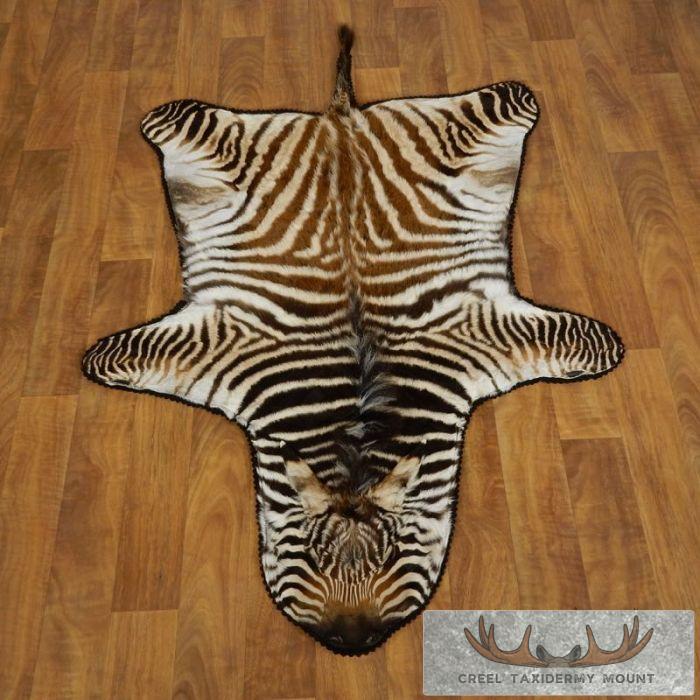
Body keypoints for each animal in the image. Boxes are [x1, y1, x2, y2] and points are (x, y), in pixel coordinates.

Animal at [82, 27, 623, 654]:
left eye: (391, 557)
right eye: (313, 559)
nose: (352, 645)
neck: (355, 430)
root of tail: (341, 119)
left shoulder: (486, 330)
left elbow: (600, 344)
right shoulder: (216, 340)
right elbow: (103, 358)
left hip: (480, 120)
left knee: (517, 93)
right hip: (216, 136)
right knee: (167, 113)